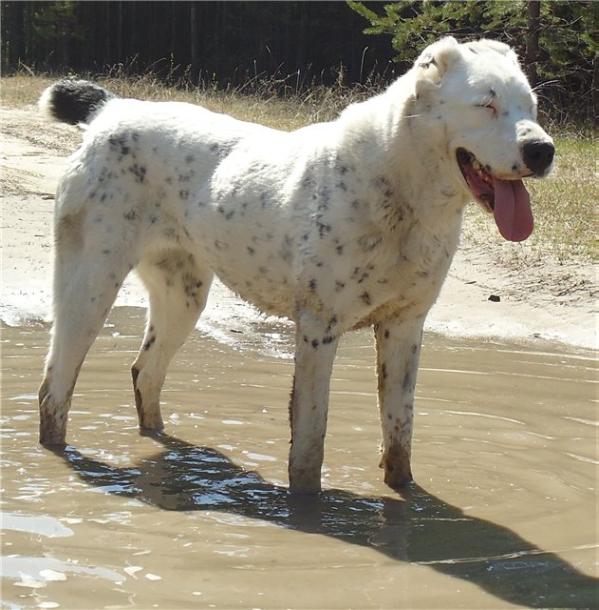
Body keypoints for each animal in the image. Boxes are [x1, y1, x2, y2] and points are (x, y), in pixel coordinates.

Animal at [36, 38, 552, 492]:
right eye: (485, 104)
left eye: (530, 107)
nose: (543, 150)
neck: (404, 191)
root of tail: (111, 111)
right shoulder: (319, 330)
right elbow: (309, 440)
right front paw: (307, 509)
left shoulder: (406, 328)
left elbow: (400, 432)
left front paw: (404, 493)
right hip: (89, 287)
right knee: (54, 388)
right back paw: (56, 455)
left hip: (182, 297)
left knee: (145, 372)